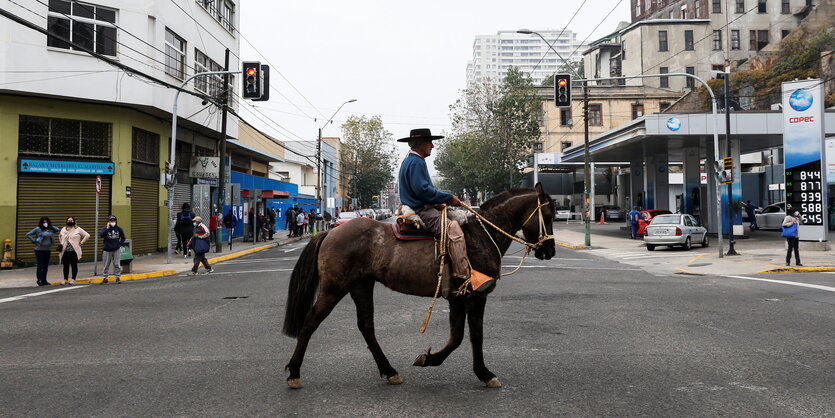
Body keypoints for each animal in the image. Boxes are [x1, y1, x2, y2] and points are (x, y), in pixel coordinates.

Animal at [280, 185, 556, 386]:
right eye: (549, 215)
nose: (550, 251)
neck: (482, 235)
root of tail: (329, 232)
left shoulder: (457, 298)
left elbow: (457, 337)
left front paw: (429, 359)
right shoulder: (477, 296)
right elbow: (475, 336)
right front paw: (485, 374)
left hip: (361, 286)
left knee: (366, 327)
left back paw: (389, 370)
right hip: (333, 288)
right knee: (310, 323)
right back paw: (294, 372)